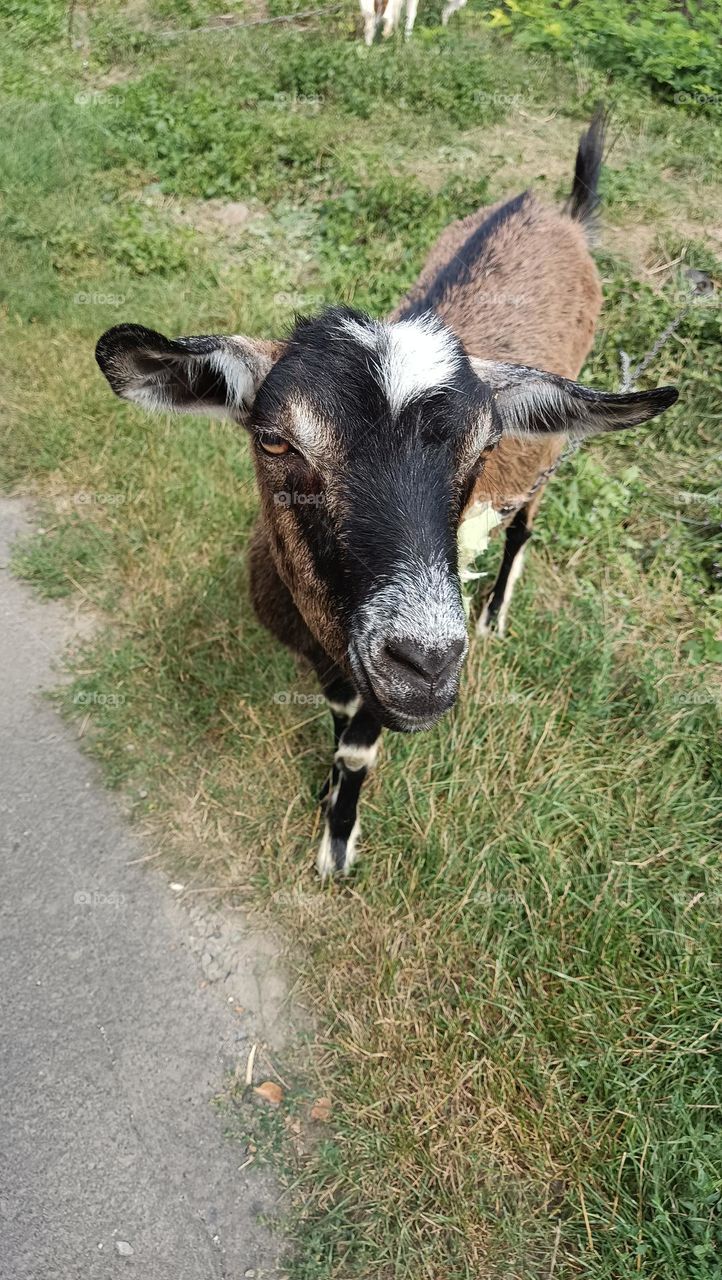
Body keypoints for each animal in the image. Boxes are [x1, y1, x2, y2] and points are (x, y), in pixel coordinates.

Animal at [95, 110, 677, 879]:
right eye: (274, 441)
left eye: (483, 447)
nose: (427, 663)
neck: (321, 626)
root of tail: (556, 213)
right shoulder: (338, 661)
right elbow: (341, 719)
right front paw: (325, 798)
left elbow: (357, 749)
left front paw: (337, 843)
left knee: (523, 525)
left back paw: (495, 615)